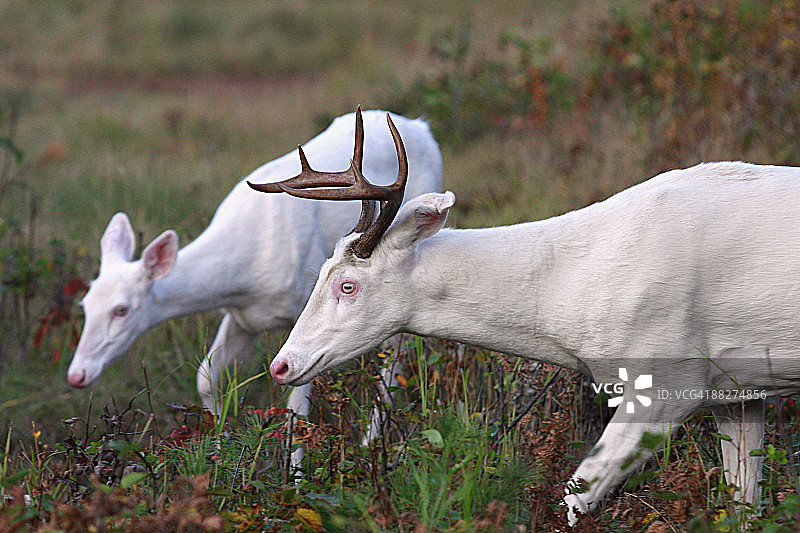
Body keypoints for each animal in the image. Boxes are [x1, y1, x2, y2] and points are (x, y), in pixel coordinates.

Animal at [66, 109, 443, 451]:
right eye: (84, 305)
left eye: (121, 310)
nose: (76, 375)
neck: (243, 271)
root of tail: (423, 127)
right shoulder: (241, 317)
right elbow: (205, 378)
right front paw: (220, 449)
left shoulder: (302, 313)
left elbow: (296, 411)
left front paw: (295, 475)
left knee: (395, 357)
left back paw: (370, 442)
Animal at [251, 115, 800, 524]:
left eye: (348, 284)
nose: (281, 365)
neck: (570, 291)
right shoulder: (738, 393)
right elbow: (743, 504)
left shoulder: (669, 382)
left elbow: (574, 499)